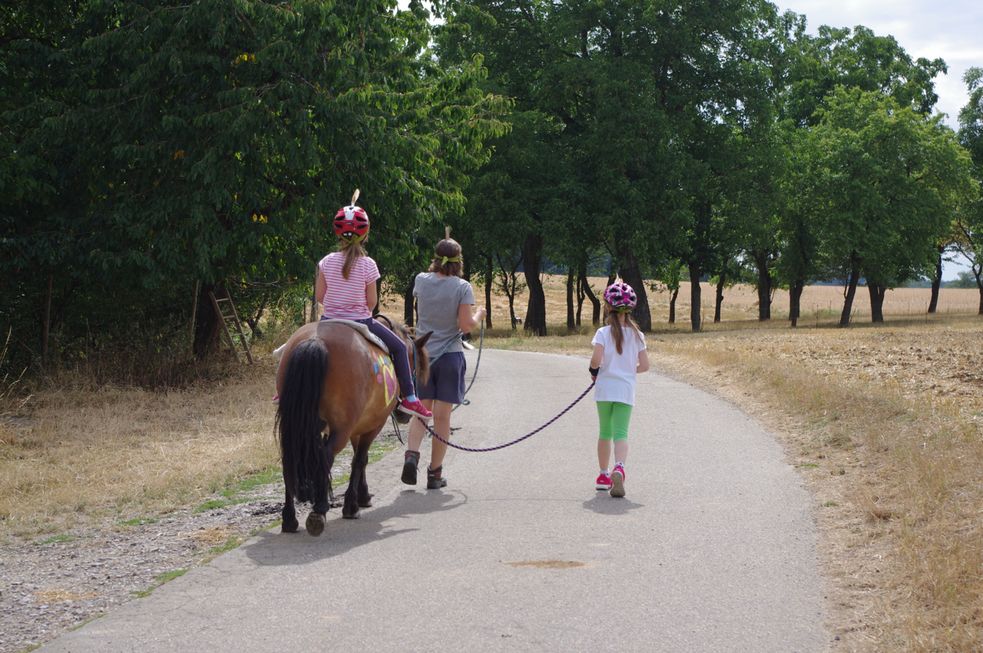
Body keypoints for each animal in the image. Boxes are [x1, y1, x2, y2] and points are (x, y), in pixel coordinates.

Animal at [276, 318, 430, 536]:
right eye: (414, 367)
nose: (404, 415)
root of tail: (315, 341)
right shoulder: (372, 425)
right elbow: (360, 459)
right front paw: (351, 505)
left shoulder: (356, 427)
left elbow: (359, 459)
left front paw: (362, 496)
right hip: (341, 429)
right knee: (326, 456)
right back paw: (319, 510)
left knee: (290, 459)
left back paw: (290, 518)